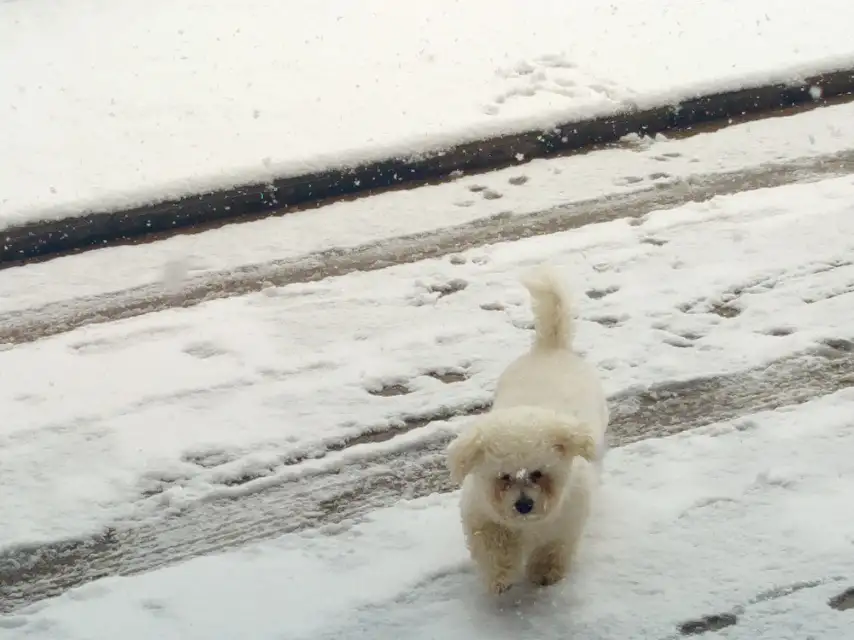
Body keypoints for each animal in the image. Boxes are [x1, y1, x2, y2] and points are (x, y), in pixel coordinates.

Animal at [448, 264, 608, 596]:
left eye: (538, 473)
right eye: (503, 477)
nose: (524, 505)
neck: (528, 524)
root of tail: (551, 349)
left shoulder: (567, 519)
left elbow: (553, 547)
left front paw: (545, 573)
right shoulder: (481, 512)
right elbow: (491, 542)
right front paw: (501, 576)